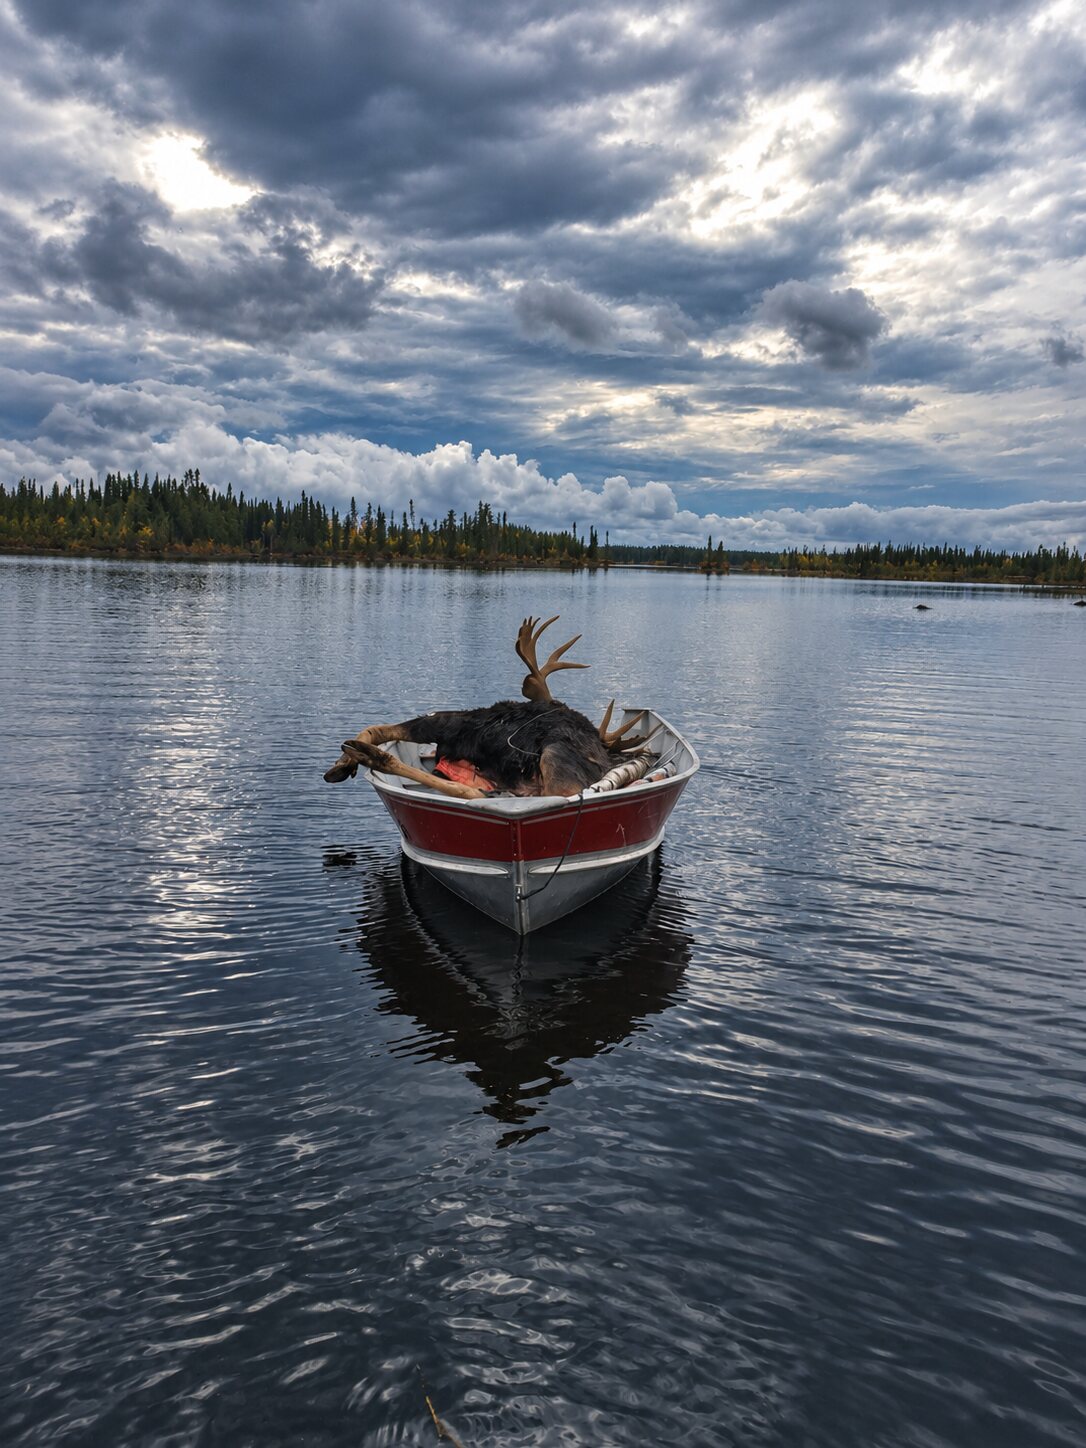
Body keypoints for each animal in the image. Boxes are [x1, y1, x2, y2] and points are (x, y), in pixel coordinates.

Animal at [323, 615, 648, 799]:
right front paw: (342, 763)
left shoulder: (448, 723)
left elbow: (375, 728)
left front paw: (342, 763)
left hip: (555, 760)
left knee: (478, 793)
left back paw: (373, 757)